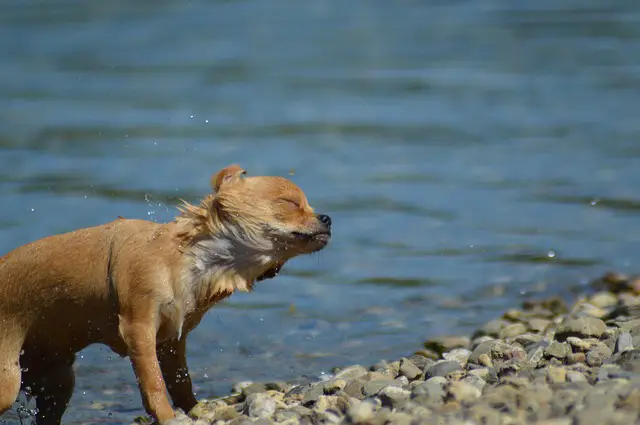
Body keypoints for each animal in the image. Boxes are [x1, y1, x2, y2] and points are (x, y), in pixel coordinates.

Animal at [0, 165, 330, 424]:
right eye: (290, 203)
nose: (327, 218)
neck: (194, 260)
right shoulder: (139, 329)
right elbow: (154, 383)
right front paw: (168, 415)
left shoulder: (171, 340)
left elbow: (180, 381)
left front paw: (196, 410)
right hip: (8, 378)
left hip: (57, 382)